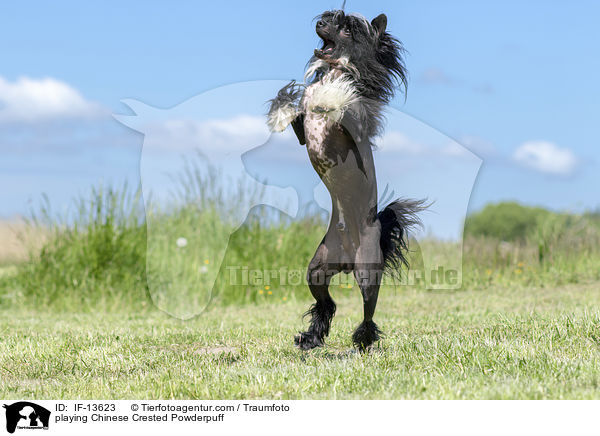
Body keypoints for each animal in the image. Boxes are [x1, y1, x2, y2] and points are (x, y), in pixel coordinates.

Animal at [264, 9, 424, 350]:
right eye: (329, 17)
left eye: (348, 29)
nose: (320, 23)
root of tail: (347, 261)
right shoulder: (303, 131)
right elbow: (292, 107)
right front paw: (282, 109)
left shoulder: (354, 128)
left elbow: (341, 102)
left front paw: (332, 95)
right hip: (317, 269)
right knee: (327, 303)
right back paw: (311, 337)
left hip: (367, 272)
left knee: (368, 311)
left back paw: (363, 341)